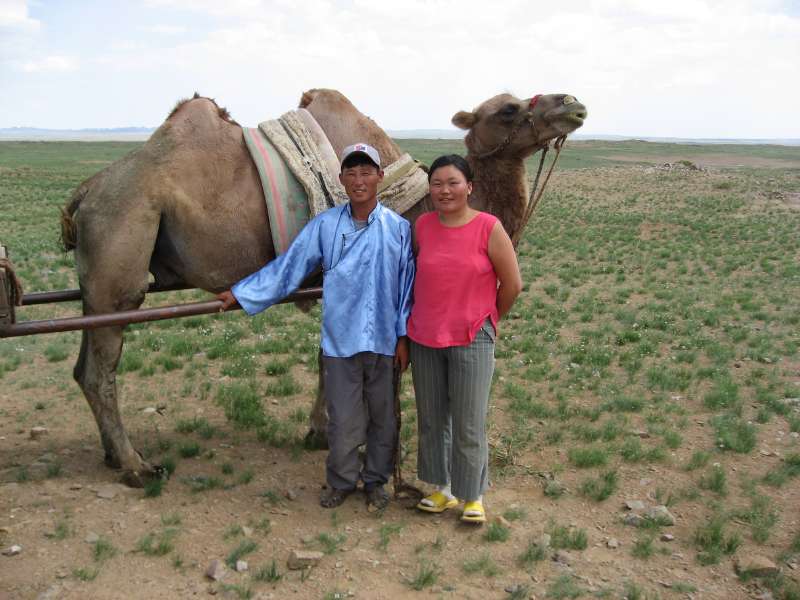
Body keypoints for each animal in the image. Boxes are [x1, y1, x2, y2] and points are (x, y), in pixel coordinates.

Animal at [61, 88, 588, 482]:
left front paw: (319, 432)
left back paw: (113, 455)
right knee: (101, 370)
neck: (417, 203)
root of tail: (85, 192)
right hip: (121, 260)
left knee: (84, 366)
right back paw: (136, 465)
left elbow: (325, 355)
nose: (572, 103)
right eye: (509, 108)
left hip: (96, 287)